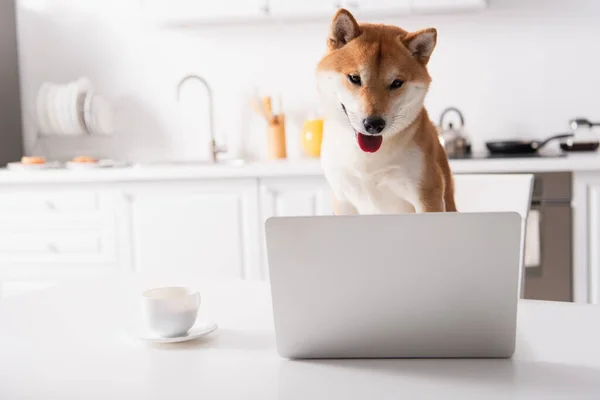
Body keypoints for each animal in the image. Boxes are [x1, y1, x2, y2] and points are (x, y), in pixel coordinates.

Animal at [318, 7, 454, 214]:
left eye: (396, 83)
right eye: (355, 78)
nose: (374, 124)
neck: (368, 160)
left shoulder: (428, 194)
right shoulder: (343, 199)